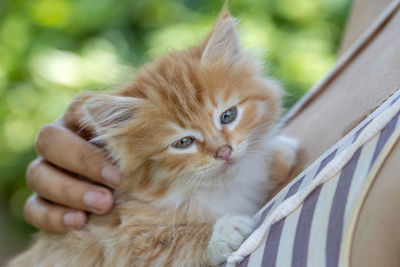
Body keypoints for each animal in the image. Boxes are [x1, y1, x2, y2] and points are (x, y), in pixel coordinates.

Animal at [8, 6, 296, 267]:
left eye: (228, 116)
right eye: (183, 143)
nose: (224, 151)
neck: (218, 188)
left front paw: (278, 150)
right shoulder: (113, 242)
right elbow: (170, 243)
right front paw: (221, 233)